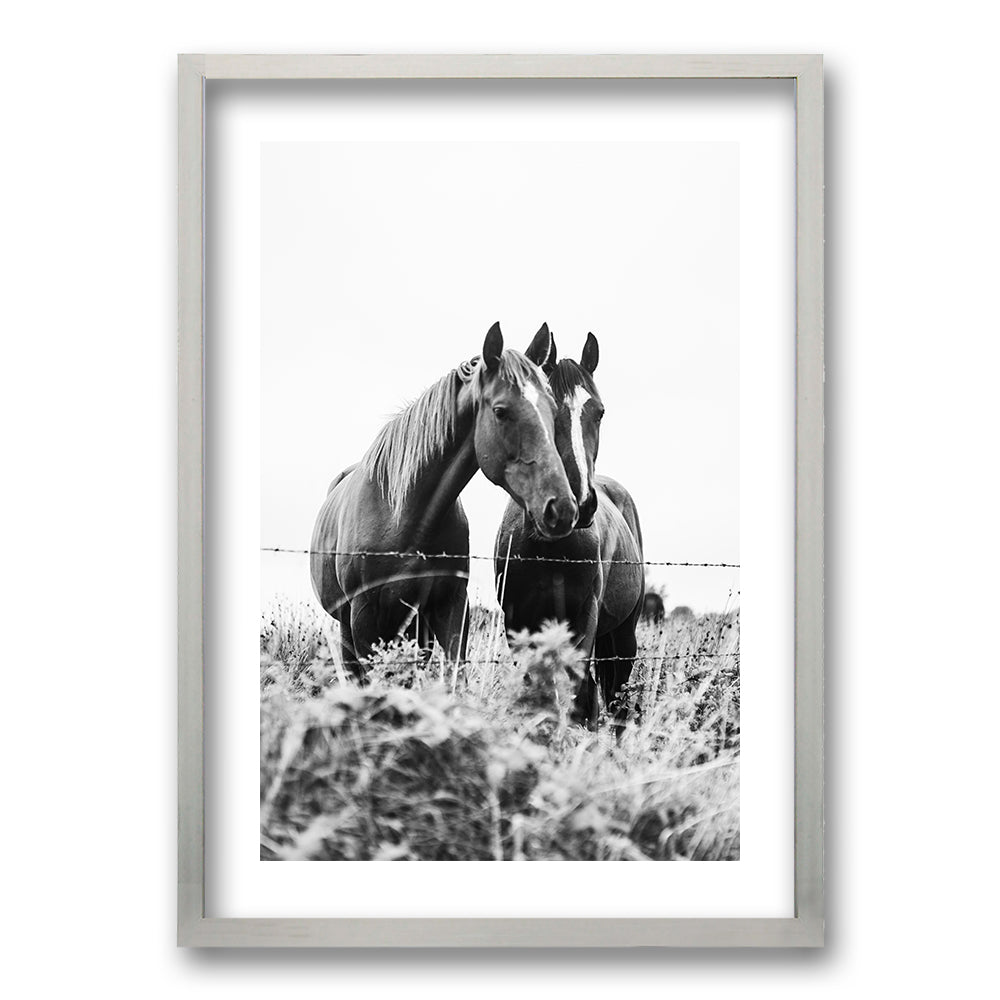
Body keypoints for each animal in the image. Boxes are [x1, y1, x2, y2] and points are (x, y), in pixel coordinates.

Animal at [311, 322, 578, 677]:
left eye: (553, 410)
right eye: (501, 411)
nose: (561, 508)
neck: (404, 515)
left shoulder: (449, 607)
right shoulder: (363, 616)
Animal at [494, 328, 645, 729]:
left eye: (599, 412)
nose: (580, 502)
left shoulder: (584, 619)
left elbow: (579, 697)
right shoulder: (518, 622)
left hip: (623, 635)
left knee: (613, 699)